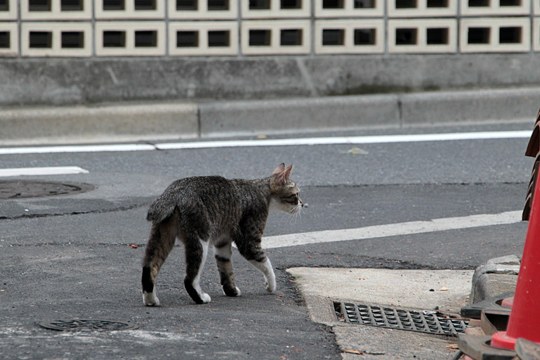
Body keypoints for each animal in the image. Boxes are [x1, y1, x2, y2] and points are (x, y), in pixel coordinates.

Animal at [142, 165, 304, 306]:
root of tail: (173, 194)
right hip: (200, 240)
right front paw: (271, 285)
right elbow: (266, 264)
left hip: (161, 236)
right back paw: (201, 298)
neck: (261, 189)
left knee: (149, 268)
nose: (303, 204)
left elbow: (226, 269)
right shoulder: (249, 243)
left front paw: (231, 290)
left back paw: (151, 300)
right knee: (189, 279)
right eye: (296, 195)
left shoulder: (222, 243)